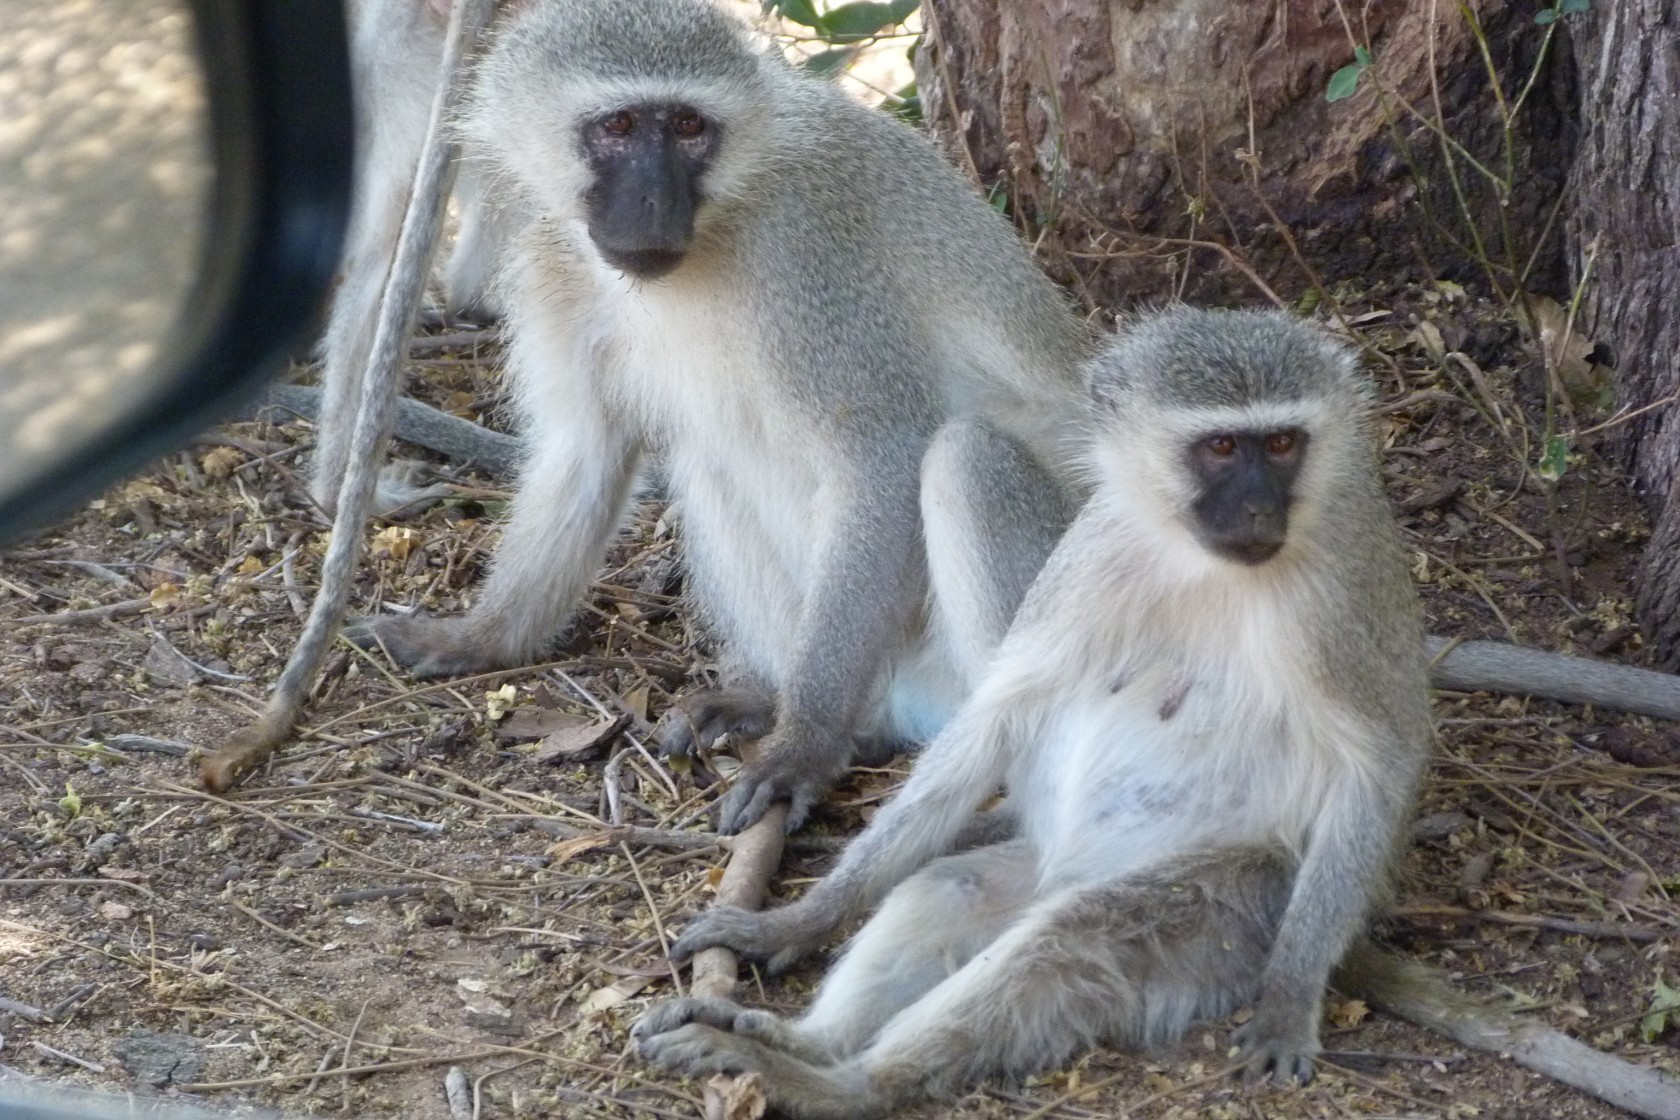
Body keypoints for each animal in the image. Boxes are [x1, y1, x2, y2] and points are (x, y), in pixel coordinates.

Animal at [344, 0, 1095, 834]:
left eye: (689, 128)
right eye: (620, 126)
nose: (652, 203)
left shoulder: (803, 257)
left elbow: (882, 461)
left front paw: (804, 744)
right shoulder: (552, 264)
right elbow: (583, 453)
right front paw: (478, 638)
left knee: (966, 459)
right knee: (706, 461)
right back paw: (798, 708)